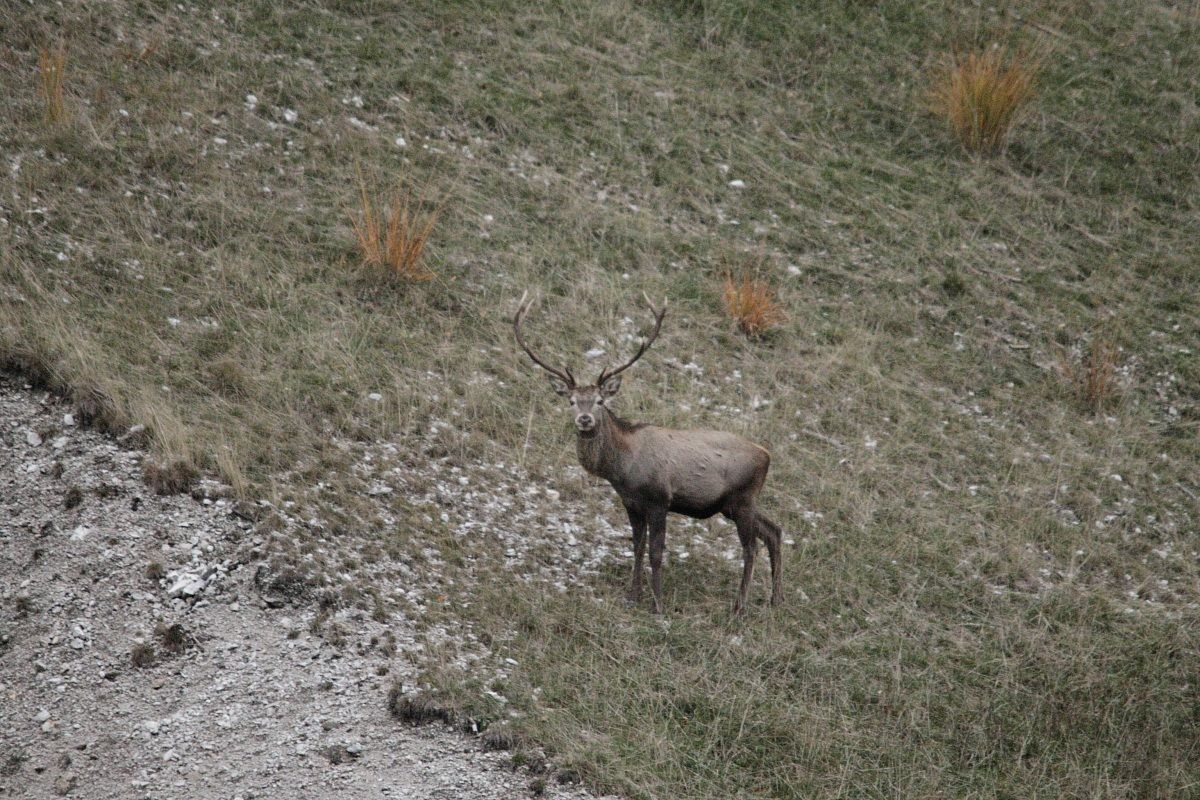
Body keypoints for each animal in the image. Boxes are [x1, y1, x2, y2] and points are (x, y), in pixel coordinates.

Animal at [514, 292, 784, 615]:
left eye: (600, 401)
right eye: (571, 401)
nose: (585, 420)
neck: (623, 469)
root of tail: (767, 455)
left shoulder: (659, 499)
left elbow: (656, 552)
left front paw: (658, 603)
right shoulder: (630, 502)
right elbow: (637, 547)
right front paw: (634, 595)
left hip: (743, 499)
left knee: (750, 546)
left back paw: (739, 607)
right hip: (733, 504)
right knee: (774, 530)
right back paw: (775, 599)